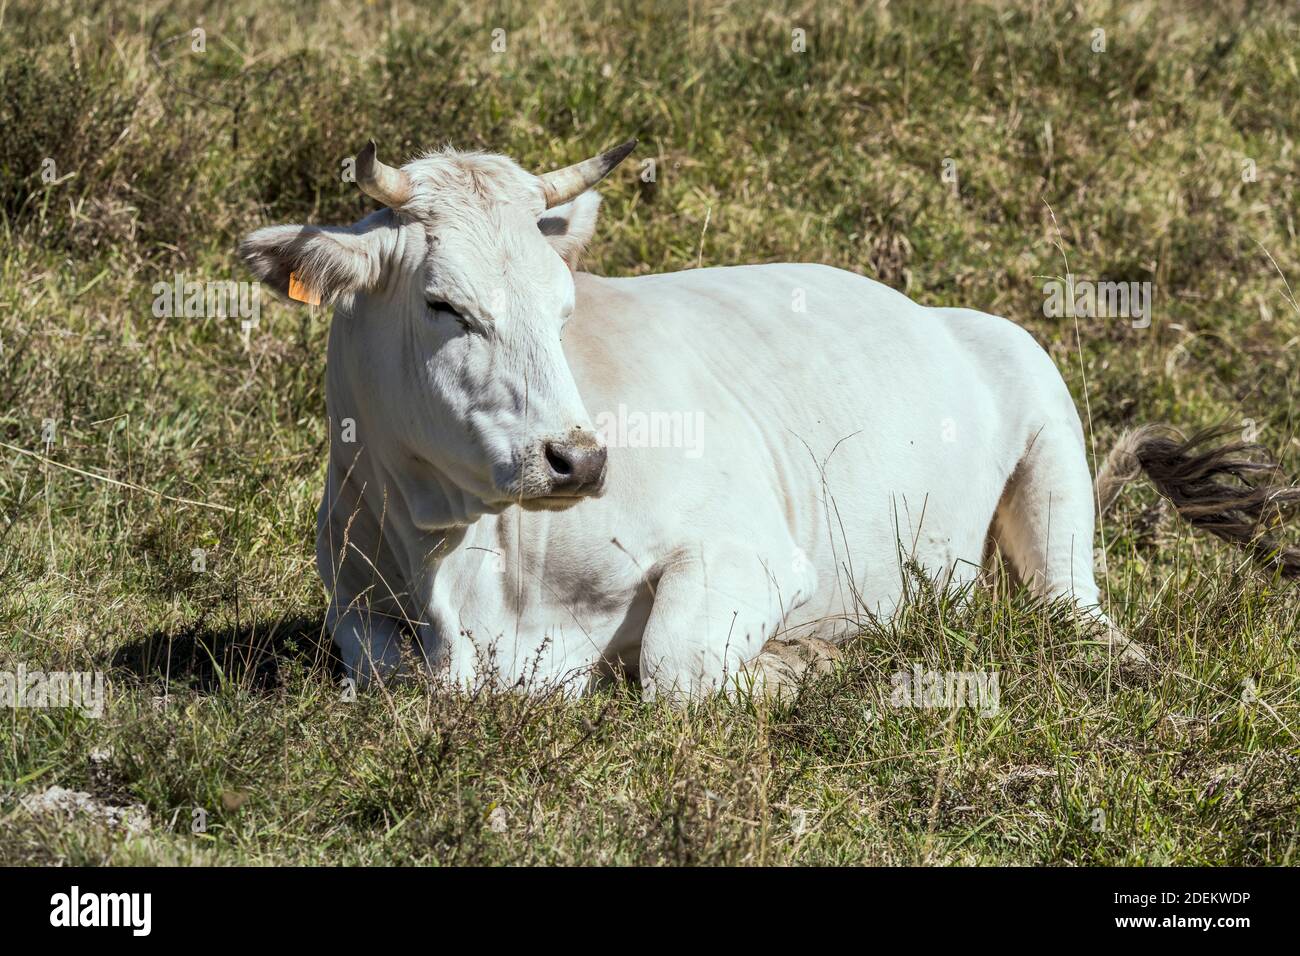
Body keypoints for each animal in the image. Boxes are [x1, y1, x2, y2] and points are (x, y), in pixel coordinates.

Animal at [240, 139, 1300, 700]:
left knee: (1073, 613)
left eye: (564, 305)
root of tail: (945, 313)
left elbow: (673, 671)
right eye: (443, 305)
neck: (467, 570)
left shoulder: (749, 549)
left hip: (1049, 445)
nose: (577, 459)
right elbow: (378, 675)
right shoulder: (355, 607)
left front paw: (805, 662)